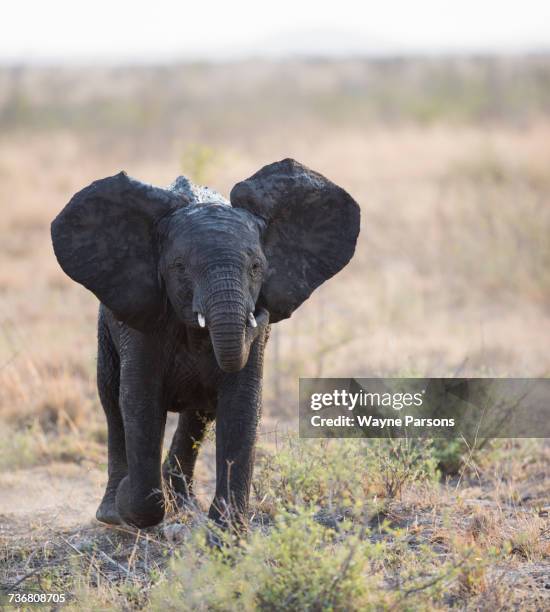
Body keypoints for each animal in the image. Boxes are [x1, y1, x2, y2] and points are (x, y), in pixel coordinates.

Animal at [51, 160, 362, 528]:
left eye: (256, 267)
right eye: (180, 267)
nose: (261, 311)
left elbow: (242, 402)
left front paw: (225, 531)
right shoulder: (143, 320)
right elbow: (139, 401)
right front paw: (132, 504)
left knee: (197, 415)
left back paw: (183, 504)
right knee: (111, 400)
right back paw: (113, 513)